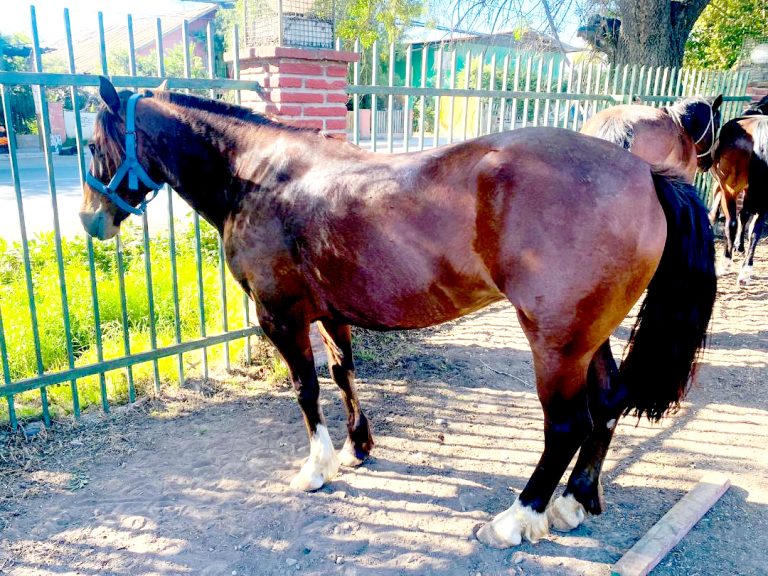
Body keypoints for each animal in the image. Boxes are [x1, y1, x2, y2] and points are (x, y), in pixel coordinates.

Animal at [709, 96, 768, 284]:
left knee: (733, 222)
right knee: (755, 229)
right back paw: (745, 270)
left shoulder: (719, 185)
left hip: (730, 189)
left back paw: (726, 263)